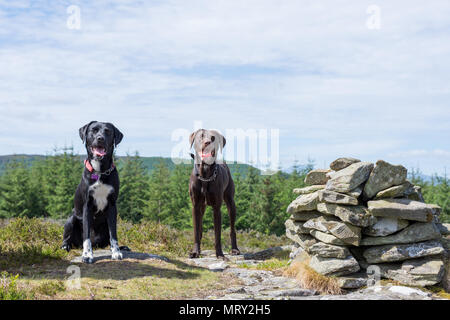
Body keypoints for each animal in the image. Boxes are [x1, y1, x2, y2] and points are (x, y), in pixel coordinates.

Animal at [60, 121, 125, 264]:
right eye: (94, 130)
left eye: (108, 131)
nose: (100, 138)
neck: (100, 172)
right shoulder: (87, 206)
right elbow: (87, 236)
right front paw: (87, 255)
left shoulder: (112, 206)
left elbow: (114, 235)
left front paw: (116, 252)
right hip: (71, 219)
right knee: (69, 238)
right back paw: (66, 246)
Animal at [189, 129, 241, 258]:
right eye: (201, 136)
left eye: (213, 138)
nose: (208, 143)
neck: (205, 174)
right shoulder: (195, 206)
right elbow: (196, 231)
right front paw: (195, 251)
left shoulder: (217, 208)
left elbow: (218, 234)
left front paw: (220, 254)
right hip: (202, 207)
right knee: (200, 228)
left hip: (230, 203)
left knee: (232, 228)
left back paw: (235, 249)